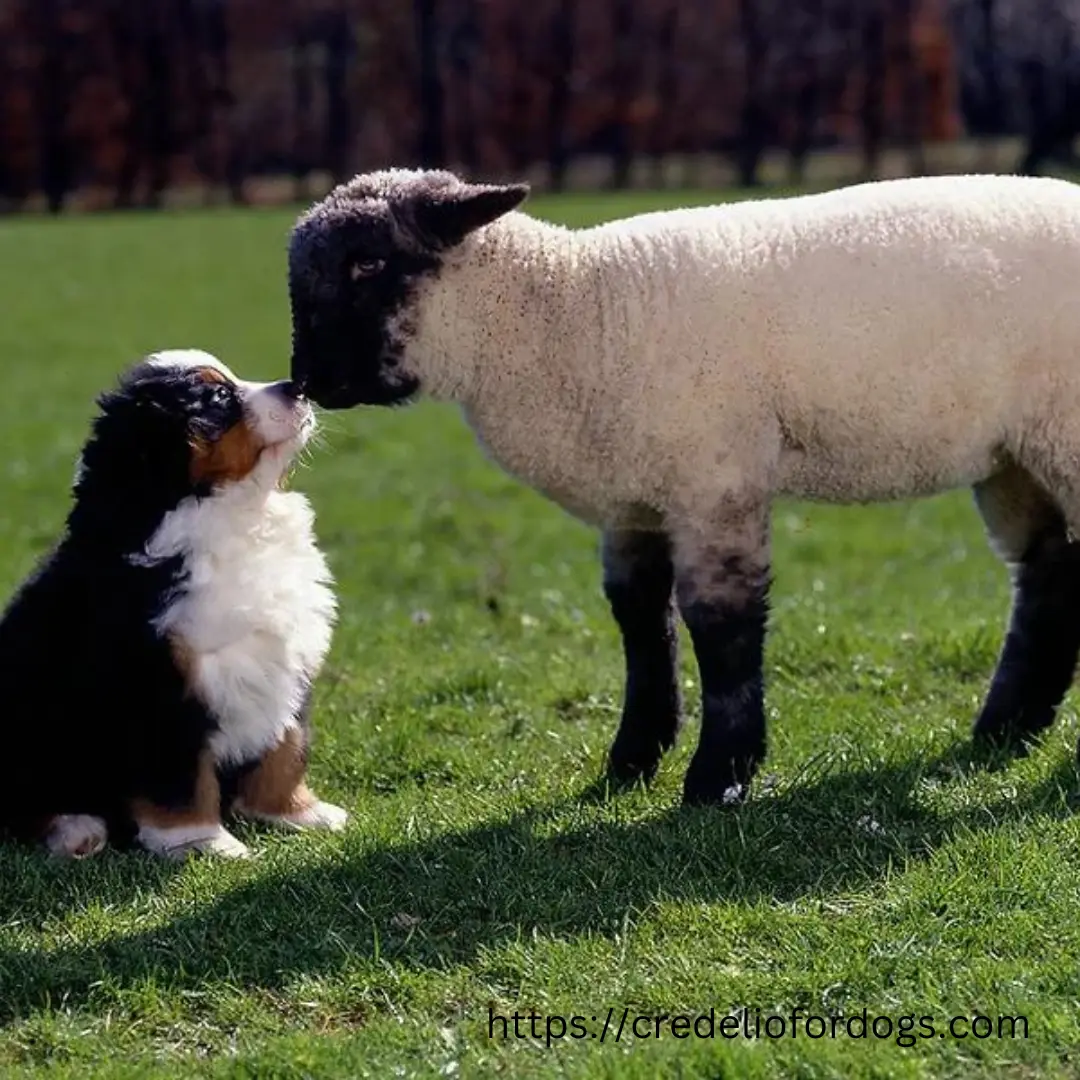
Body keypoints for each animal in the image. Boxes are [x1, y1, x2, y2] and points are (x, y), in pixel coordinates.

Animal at [0, 352, 345, 859]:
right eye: (219, 397)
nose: (297, 387)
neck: (235, 515)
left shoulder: (283, 661)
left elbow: (286, 748)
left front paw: (300, 812)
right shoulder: (158, 685)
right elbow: (183, 778)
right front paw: (204, 842)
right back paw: (76, 829)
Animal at [289, 170, 1080, 812]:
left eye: (368, 262)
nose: (308, 382)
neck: (566, 315)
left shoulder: (715, 480)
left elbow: (720, 623)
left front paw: (719, 776)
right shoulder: (634, 501)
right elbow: (640, 618)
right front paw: (633, 759)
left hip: (1061, 432)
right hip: (1014, 455)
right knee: (1047, 571)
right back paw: (1007, 726)